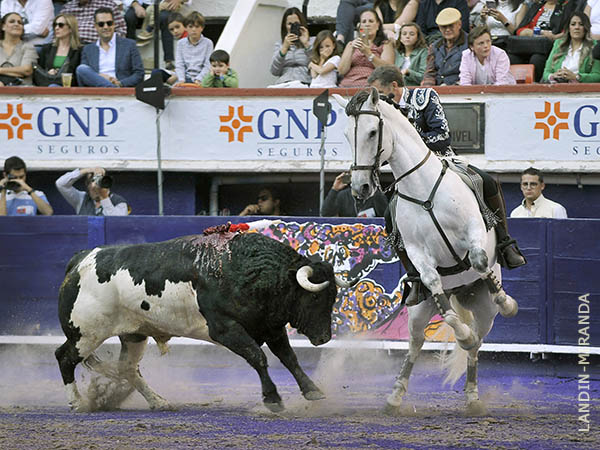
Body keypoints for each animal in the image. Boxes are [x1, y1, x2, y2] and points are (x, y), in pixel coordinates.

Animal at [56, 230, 346, 414]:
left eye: (333, 297)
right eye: (315, 297)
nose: (324, 338)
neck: (247, 270)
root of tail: (80, 260)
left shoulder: (270, 327)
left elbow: (290, 358)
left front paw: (313, 391)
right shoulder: (226, 329)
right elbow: (258, 357)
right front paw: (273, 399)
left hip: (134, 334)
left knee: (128, 369)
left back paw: (160, 402)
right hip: (86, 334)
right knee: (65, 357)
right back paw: (77, 403)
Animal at [332, 89, 520, 414]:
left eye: (372, 132)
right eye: (346, 135)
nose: (360, 187)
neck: (423, 192)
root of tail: (462, 291)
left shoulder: (473, 232)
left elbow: (480, 260)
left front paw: (508, 303)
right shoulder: (419, 254)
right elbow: (433, 284)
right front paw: (460, 332)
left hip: (485, 310)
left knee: (478, 342)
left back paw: (473, 396)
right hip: (420, 311)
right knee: (418, 343)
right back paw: (395, 396)